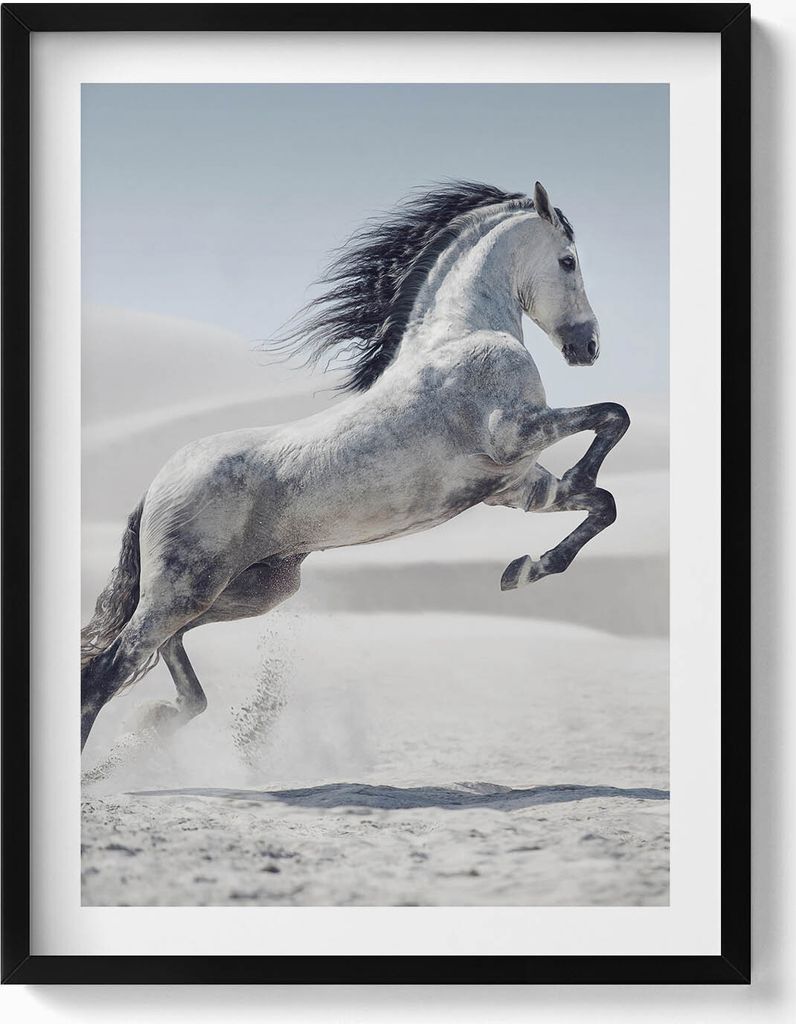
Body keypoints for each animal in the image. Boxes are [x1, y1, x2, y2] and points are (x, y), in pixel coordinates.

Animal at [81, 180, 629, 751]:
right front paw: (568, 497)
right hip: (182, 590)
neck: (460, 335)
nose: (587, 347)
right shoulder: (514, 432)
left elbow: (603, 503)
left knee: (168, 655)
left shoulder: (516, 485)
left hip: (251, 591)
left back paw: (156, 724)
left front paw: (523, 570)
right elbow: (614, 415)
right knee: (104, 674)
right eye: (568, 261)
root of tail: (155, 486)